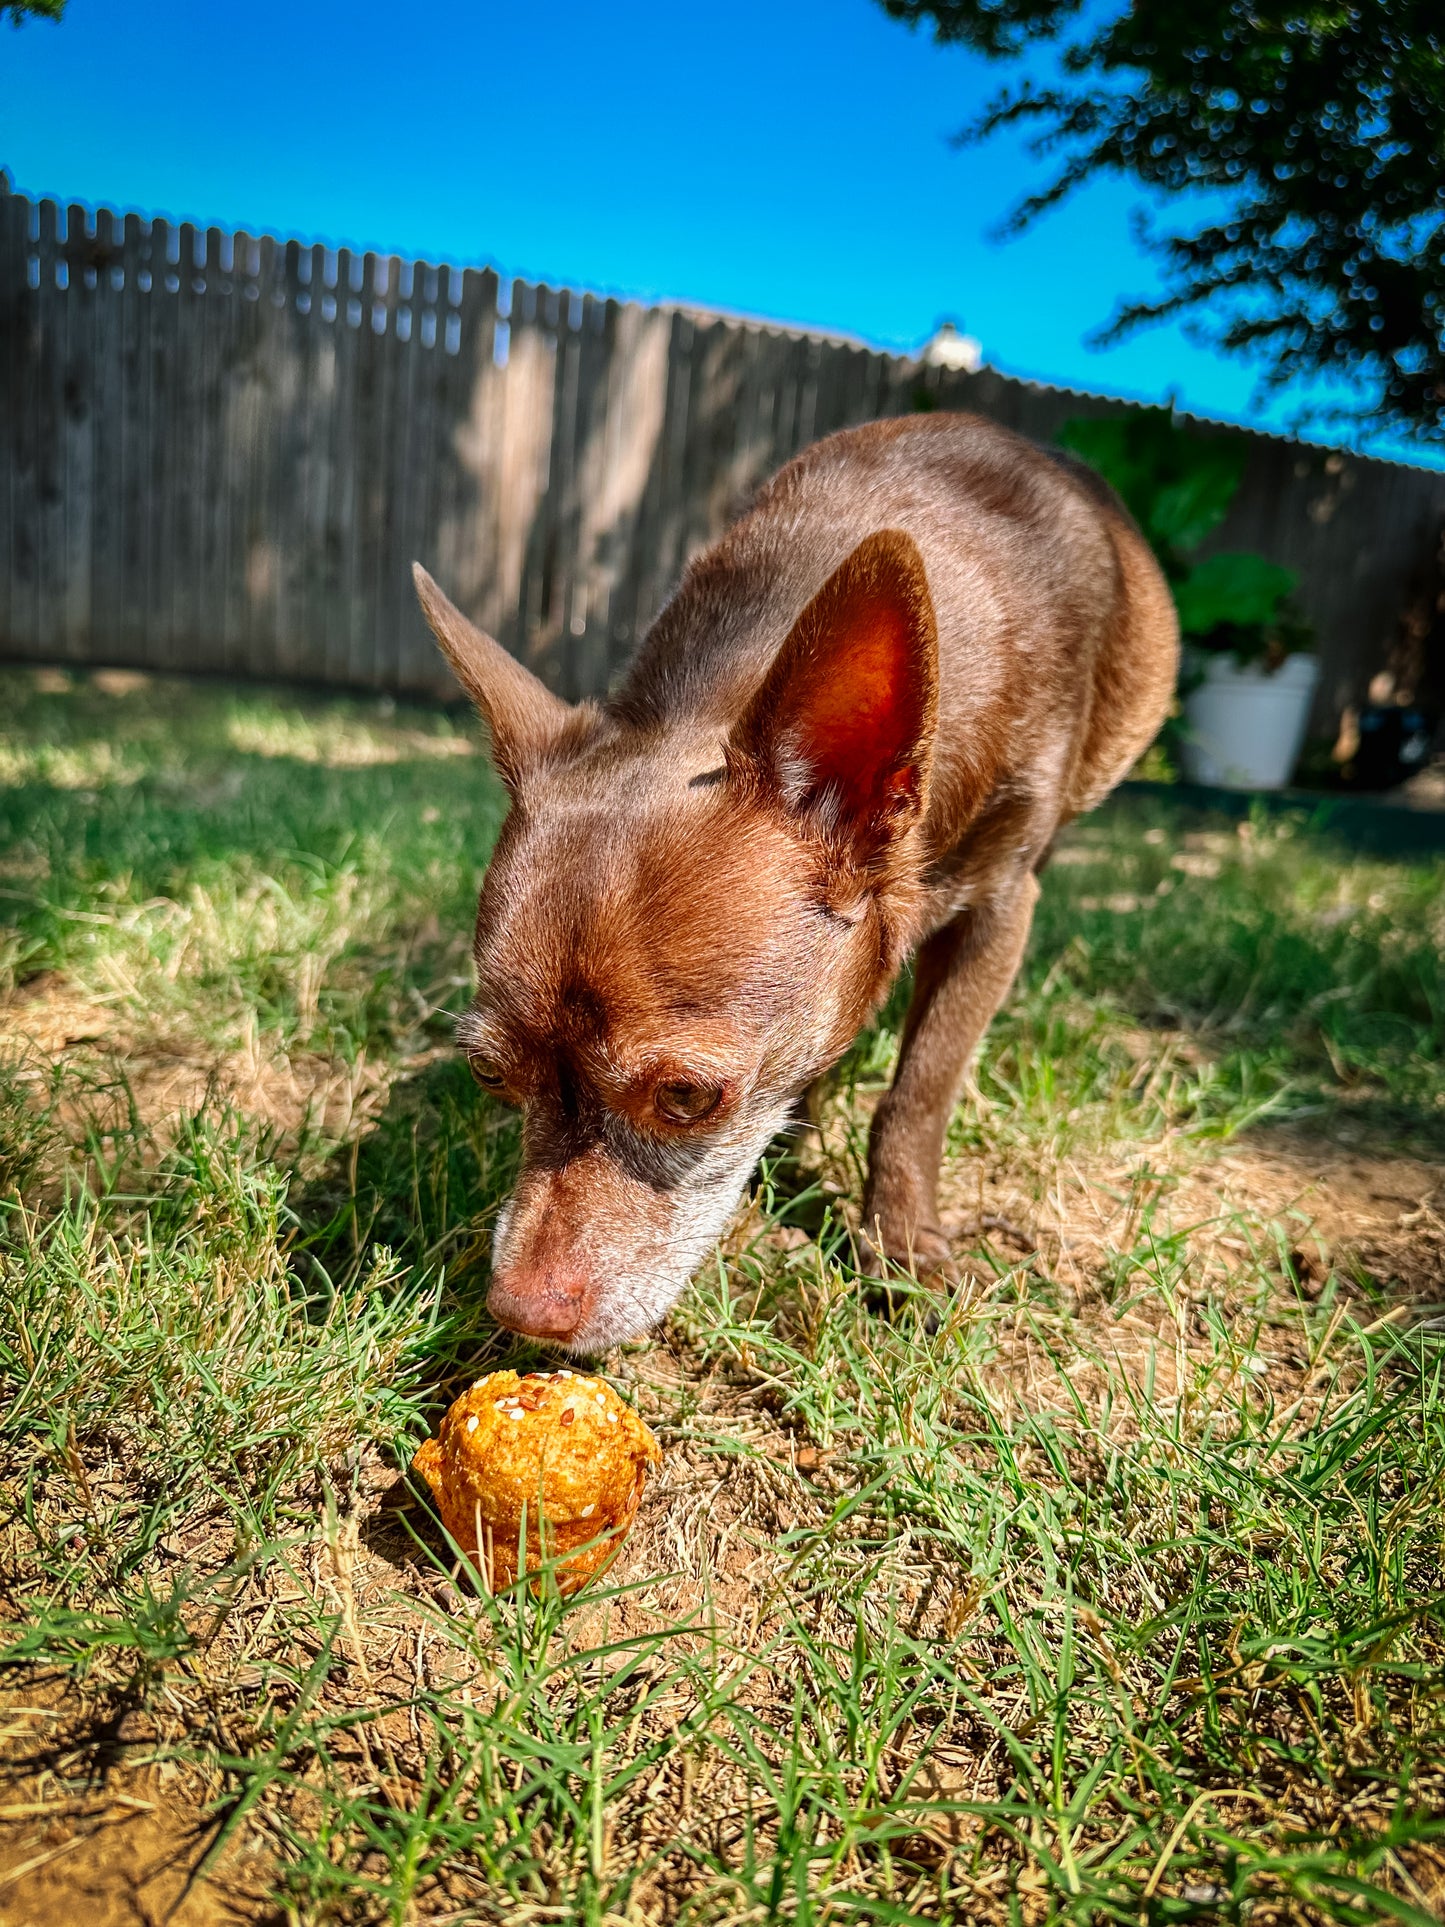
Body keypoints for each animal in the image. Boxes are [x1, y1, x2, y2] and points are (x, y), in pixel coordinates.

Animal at [412, 410, 1179, 1341]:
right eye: (488, 1074)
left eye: (683, 1096)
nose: (518, 1310)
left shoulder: (997, 908)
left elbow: (920, 1089)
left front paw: (901, 1247)